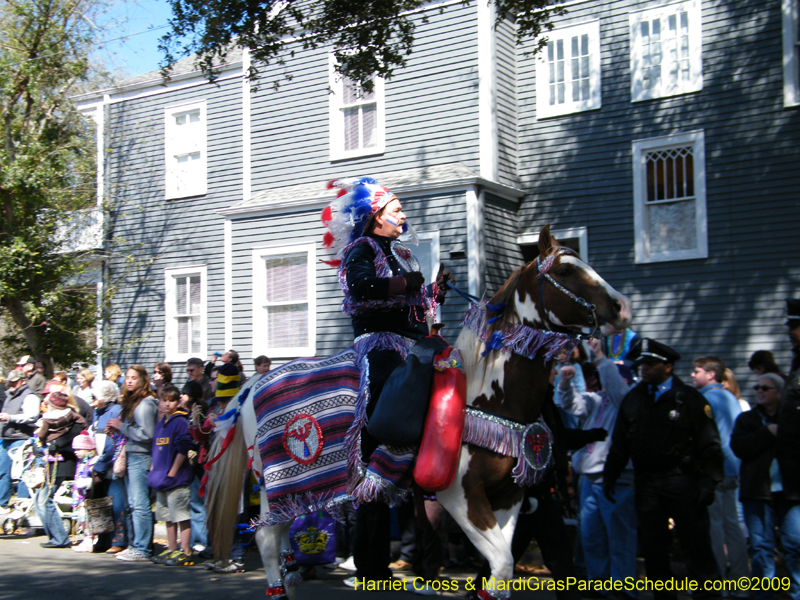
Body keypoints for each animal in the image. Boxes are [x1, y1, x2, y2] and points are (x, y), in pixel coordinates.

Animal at [208, 226, 632, 600]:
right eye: (564, 271)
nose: (622, 308)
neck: (487, 397)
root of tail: (253, 385)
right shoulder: (459, 495)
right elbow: (502, 563)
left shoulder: (510, 497)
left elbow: (499, 574)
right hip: (275, 485)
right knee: (266, 540)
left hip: (303, 489)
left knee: (282, 546)